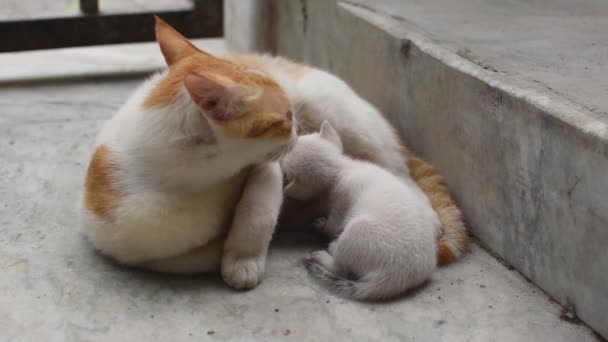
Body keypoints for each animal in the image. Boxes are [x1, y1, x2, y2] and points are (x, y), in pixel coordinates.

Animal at [79, 18, 470, 290]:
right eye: (284, 117)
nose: (298, 127)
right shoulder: (133, 244)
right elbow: (188, 256)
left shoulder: (268, 168)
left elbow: (257, 213)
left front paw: (243, 259)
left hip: (337, 110)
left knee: (399, 171)